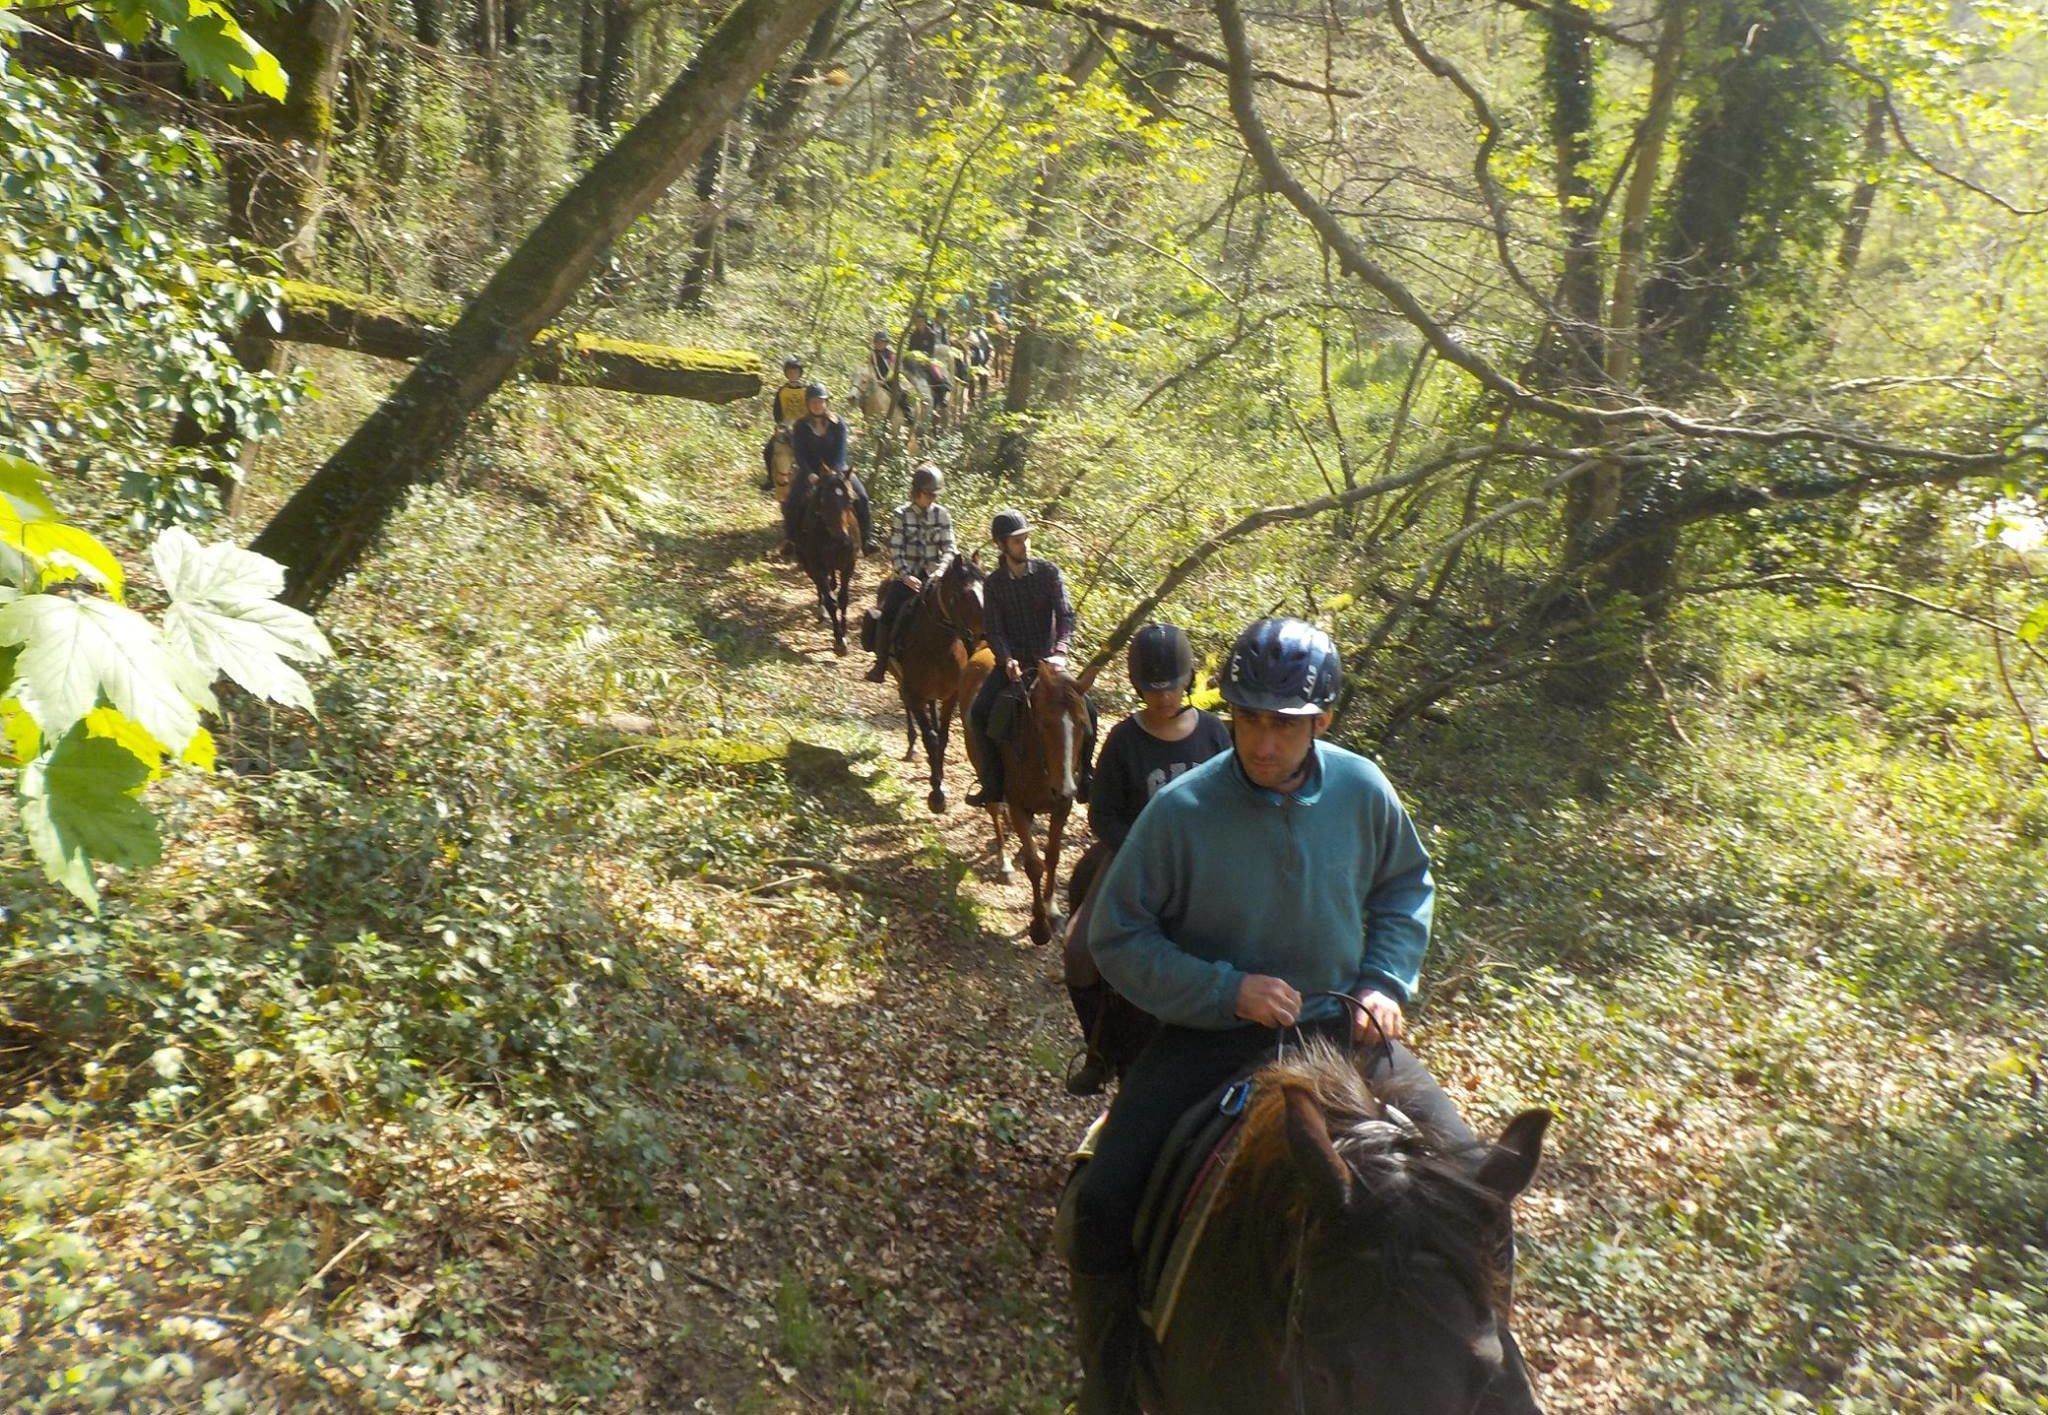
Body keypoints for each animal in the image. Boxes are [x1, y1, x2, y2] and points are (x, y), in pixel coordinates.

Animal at [790, 473, 856, 655]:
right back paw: (822, 612)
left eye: (850, 499)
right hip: (807, 562)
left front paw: (845, 634)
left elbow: (843, 599)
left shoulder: (849, 565)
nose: (844, 541)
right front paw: (839, 641)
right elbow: (831, 601)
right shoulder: (816, 566)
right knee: (820, 587)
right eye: (824, 500)